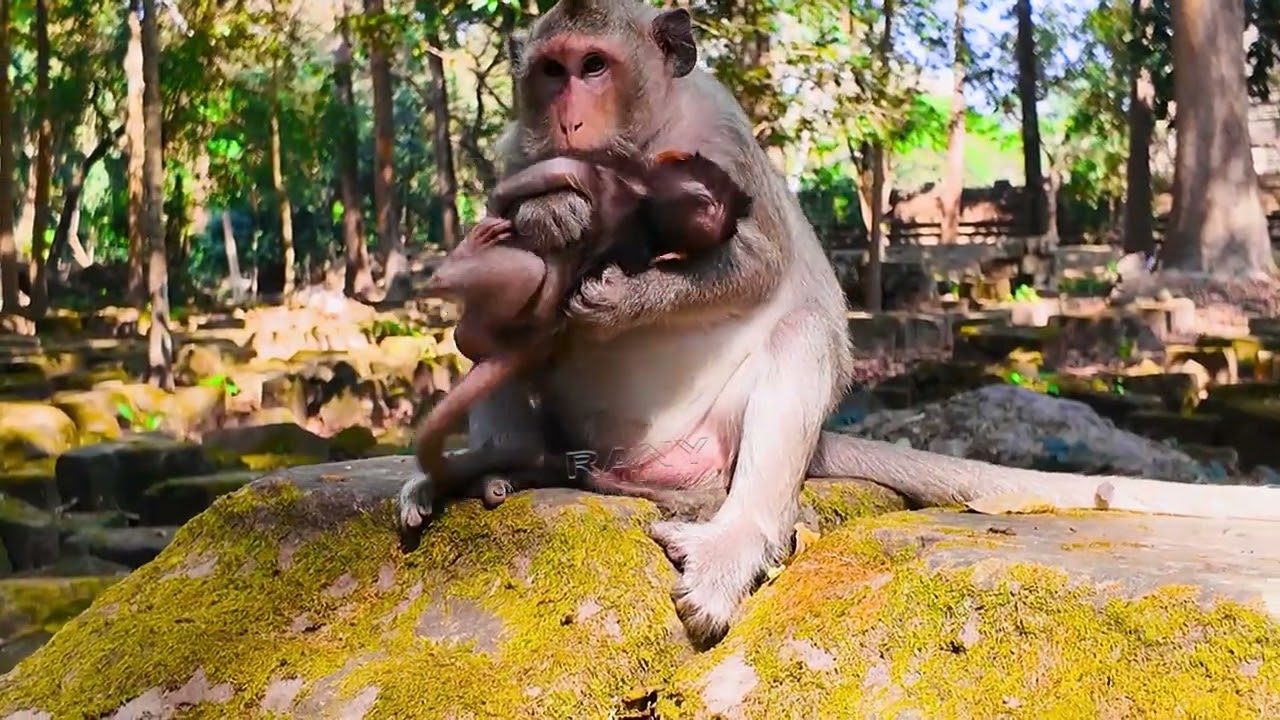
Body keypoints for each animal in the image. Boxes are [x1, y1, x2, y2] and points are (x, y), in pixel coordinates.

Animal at [413, 148, 754, 511]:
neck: (649, 224)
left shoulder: (607, 183)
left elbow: (555, 172)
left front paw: (497, 202)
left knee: (523, 273)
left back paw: (456, 276)